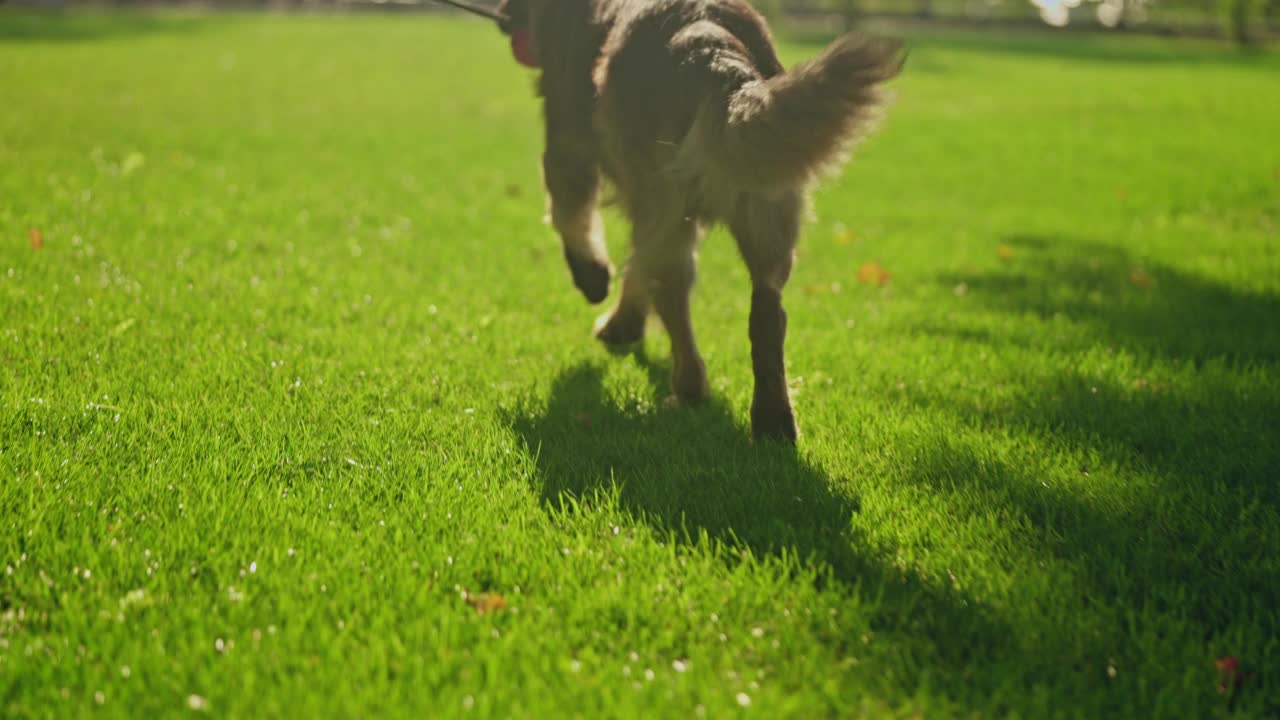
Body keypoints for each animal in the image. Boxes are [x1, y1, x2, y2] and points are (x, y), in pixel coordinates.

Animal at [494, 0, 906, 440]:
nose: (504, 16)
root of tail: (711, 49)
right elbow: (633, 265)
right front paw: (624, 322)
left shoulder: (568, 149)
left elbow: (572, 221)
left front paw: (593, 281)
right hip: (766, 206)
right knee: (767, 314)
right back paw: (772, 418)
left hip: (672, 208)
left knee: (674, 302)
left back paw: (689, 389)